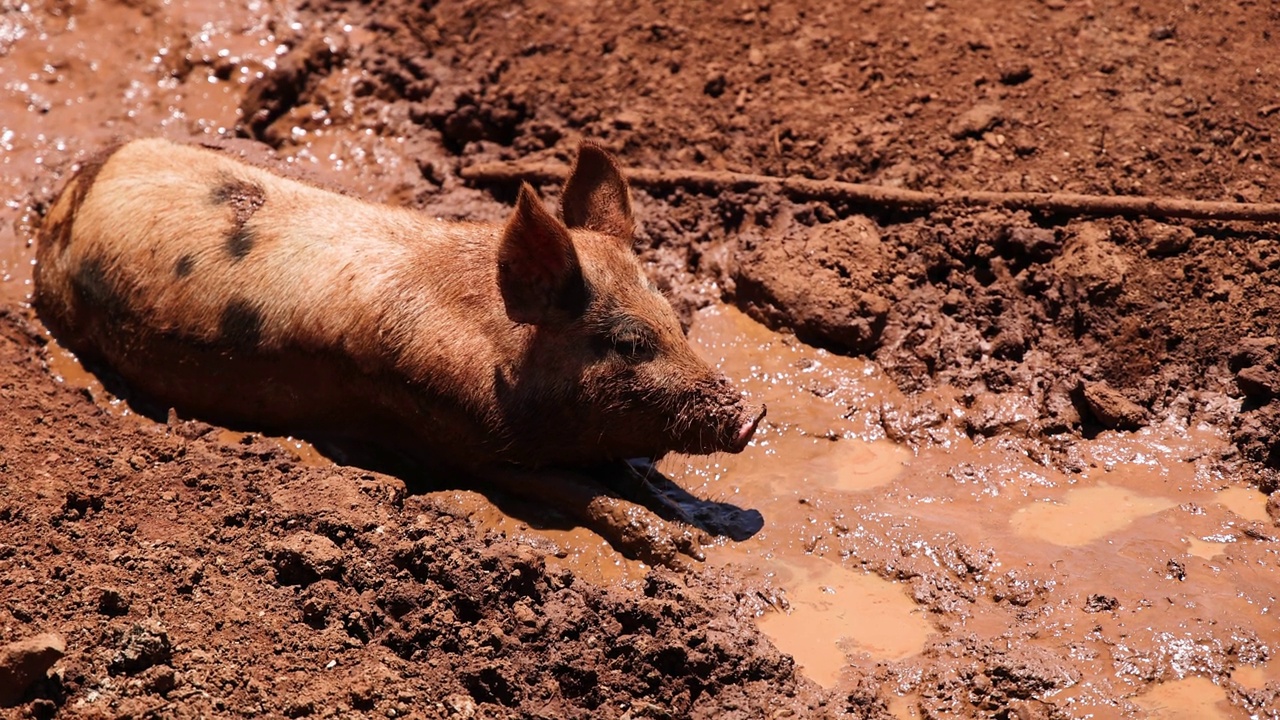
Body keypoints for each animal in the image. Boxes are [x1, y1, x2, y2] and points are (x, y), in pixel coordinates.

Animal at [35, 135, 762, 561]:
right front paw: (681, 553)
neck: (505, 363)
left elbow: (639, 479)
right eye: (630, 343)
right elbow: (581, 492)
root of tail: (74, 187)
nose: (752, 414)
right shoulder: (465, 440)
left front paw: (705, 523)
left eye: (675, 321)